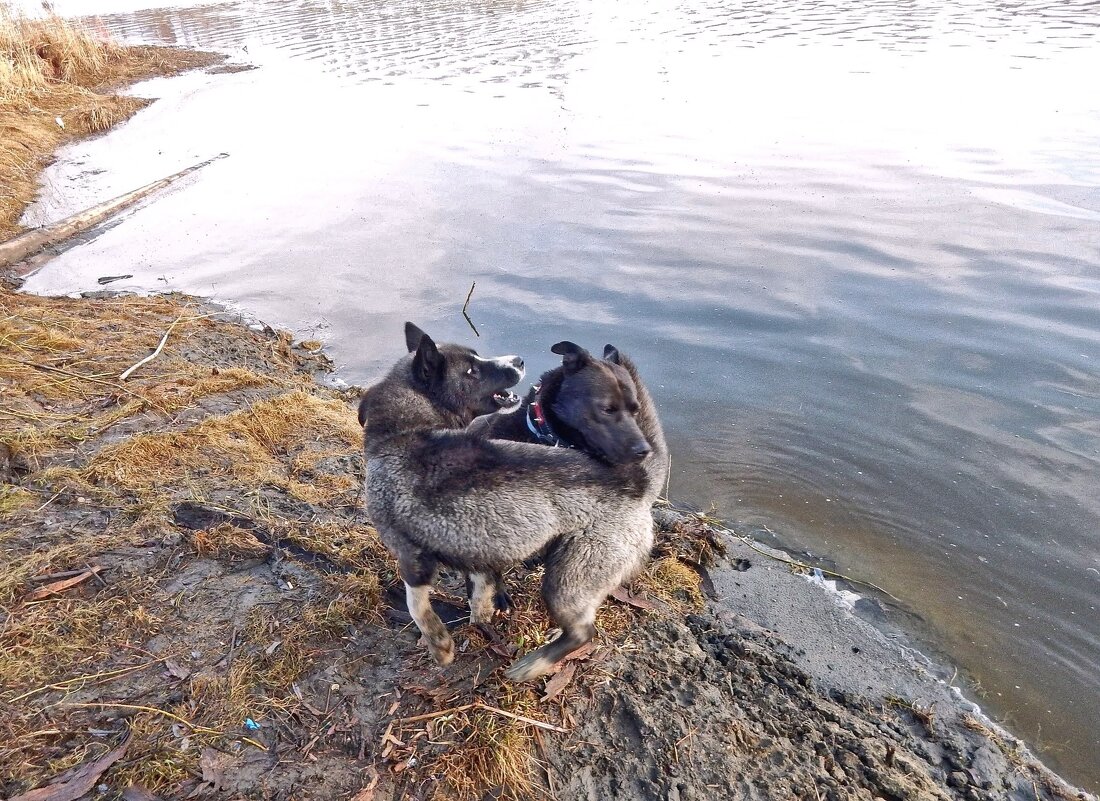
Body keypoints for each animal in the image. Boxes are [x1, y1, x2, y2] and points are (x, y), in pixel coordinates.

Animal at [358, 321, 668, 677]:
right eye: (472, 370)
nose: (518, 361)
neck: (402, 433)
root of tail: (637, 482)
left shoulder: (410, 555)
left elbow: (416, 603)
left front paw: (439, 644)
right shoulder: (479, 553)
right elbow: (481, 587)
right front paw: (481, 615)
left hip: (567, 580)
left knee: (583, 632)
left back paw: (532, 665)